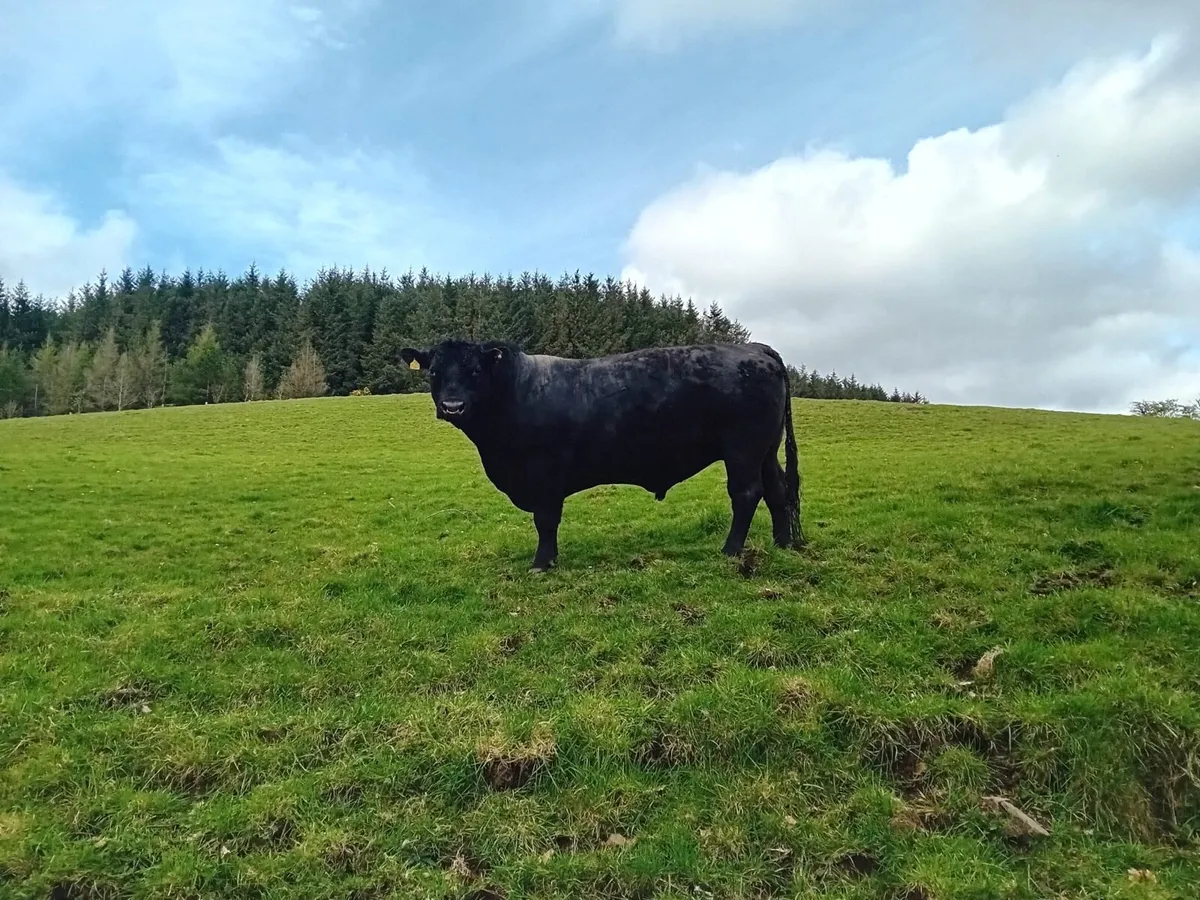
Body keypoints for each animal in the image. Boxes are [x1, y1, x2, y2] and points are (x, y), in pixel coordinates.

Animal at [400, 339, 805, 572]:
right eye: (434, 372)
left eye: (474, 370)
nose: (452, 406)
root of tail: (755, 348)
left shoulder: (545, 475)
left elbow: (546, 521)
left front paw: (542, 563)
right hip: (765, 449)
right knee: (777, 491)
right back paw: (783, 544)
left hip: (742, 449)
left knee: (746, 494)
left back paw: (731, 550)